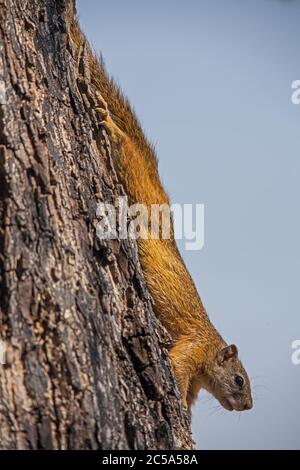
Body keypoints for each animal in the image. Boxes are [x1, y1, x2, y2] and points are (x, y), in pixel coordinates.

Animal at [70, 20, 253, 414]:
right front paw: (180, 408)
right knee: (123, 145)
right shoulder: (193, 348)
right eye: (239, 379)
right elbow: (176, 369)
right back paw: (108, 122)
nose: (247, 406)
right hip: (129, 168)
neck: (212, 346)